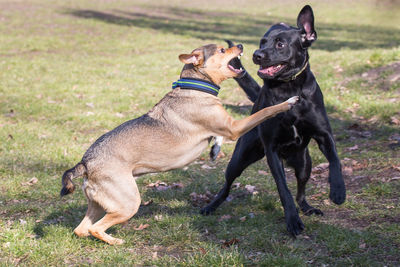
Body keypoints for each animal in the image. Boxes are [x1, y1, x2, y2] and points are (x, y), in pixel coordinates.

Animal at [61, 43, 298, 245]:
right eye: (222, 50)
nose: (239, 45)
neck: (196, 87)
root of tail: (86, 163)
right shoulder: (234, 127)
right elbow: (265, 111)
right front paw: (288, 102)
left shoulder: (225, 128)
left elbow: (218, 137)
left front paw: (215, 150)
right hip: (128, 203)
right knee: (95, 228)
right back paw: (116, 241)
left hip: (99, 203)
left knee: (81, 230)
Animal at [202, 5, 346, 237]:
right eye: (262, 42)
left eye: (280, 44)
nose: (256, 54)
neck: (288, 87)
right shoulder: (272, 151)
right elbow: (283, 189)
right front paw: (292, 221)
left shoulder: (324, 135)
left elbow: (335, 160)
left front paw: (338, 191)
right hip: (239, 159)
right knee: (226, 185)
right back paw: (211, 205)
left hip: (305, 164)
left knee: (301, 191)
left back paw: (307, 207)